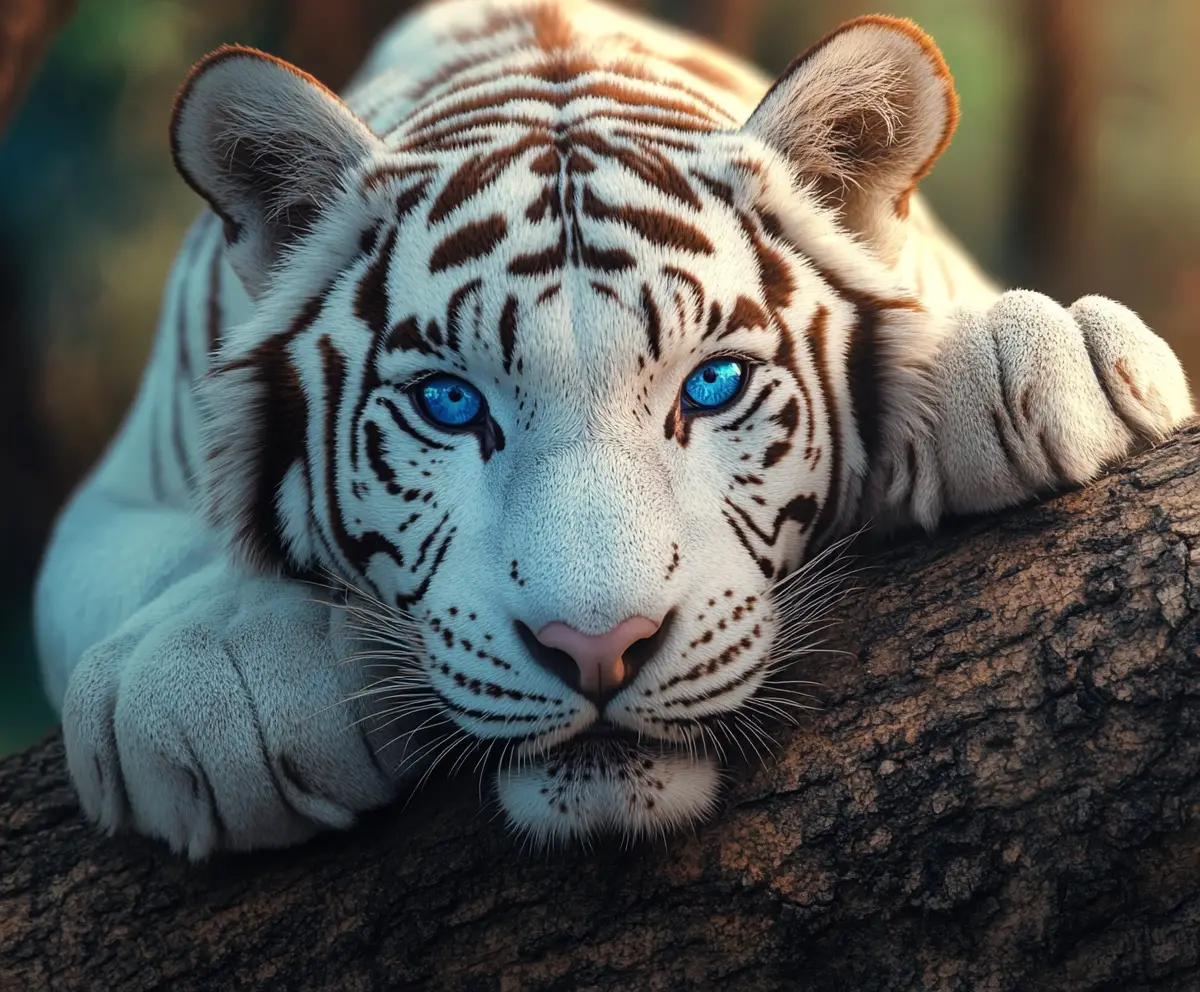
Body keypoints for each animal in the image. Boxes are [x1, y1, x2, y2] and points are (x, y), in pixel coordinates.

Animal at [33, 0, 1192, 858]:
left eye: (714, 384)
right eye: (450, 402)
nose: (597, 649)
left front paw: (1046, 358)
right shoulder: (111, 493)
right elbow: (156, 556)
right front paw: (219, 680)